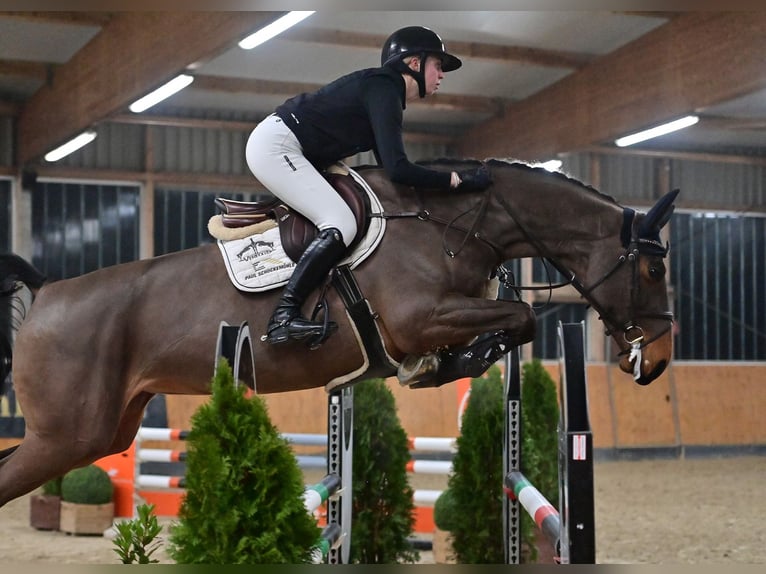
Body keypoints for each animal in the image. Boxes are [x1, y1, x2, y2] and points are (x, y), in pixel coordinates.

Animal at [0, 159, 680, 508]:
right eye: (654, 269)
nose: (658, 360)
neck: (452, 222)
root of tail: (48, 294)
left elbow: (517, 321)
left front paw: (450, 363)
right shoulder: (420, 317)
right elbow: (522, 319)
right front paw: (447, 363)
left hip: (104, 430)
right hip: (69, 435)